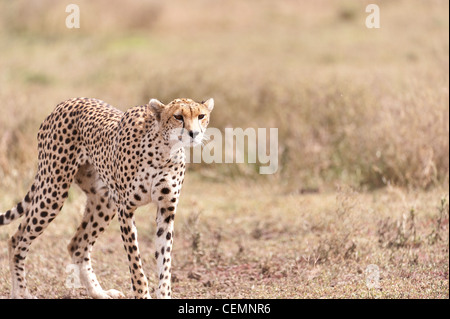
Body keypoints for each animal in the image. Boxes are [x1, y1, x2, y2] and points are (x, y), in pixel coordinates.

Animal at [0, 97, 214, 300]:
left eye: (201, 116)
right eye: (178, 116)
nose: (194, 133)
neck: (164, 150)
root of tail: (65, 102)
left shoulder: (166, 209)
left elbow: (165, 261)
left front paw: (164, 294)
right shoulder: (125, 209)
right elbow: (135, 263)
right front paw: (142, 294)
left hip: (103, 202)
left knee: (75, 245)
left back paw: (99, 293)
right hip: (54, 190)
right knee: (19, 242)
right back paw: (21, 292)